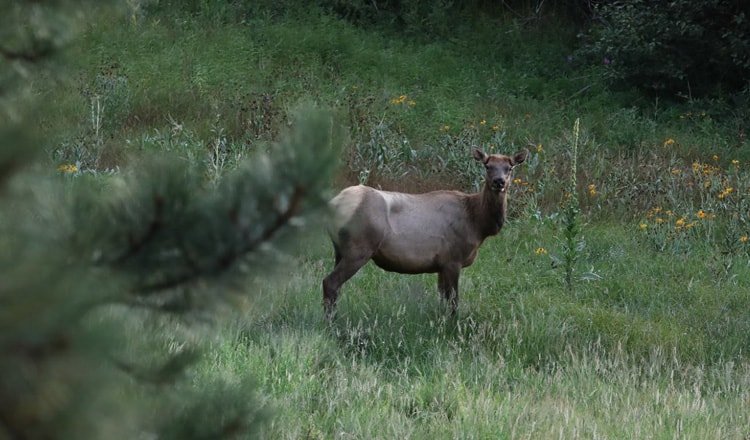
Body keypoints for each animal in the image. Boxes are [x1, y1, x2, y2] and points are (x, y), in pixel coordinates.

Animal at [324, 148, 528, 320]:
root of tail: (333, 203)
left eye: (509, 167)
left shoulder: (441, 265)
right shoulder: (453, 259)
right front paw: (452, 326)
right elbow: (453, 301)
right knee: (330, 282)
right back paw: (332, 323)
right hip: (359, 249)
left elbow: (443, 299)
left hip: (340, 250)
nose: (499, 181)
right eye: (487, 166)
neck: (478, 225)